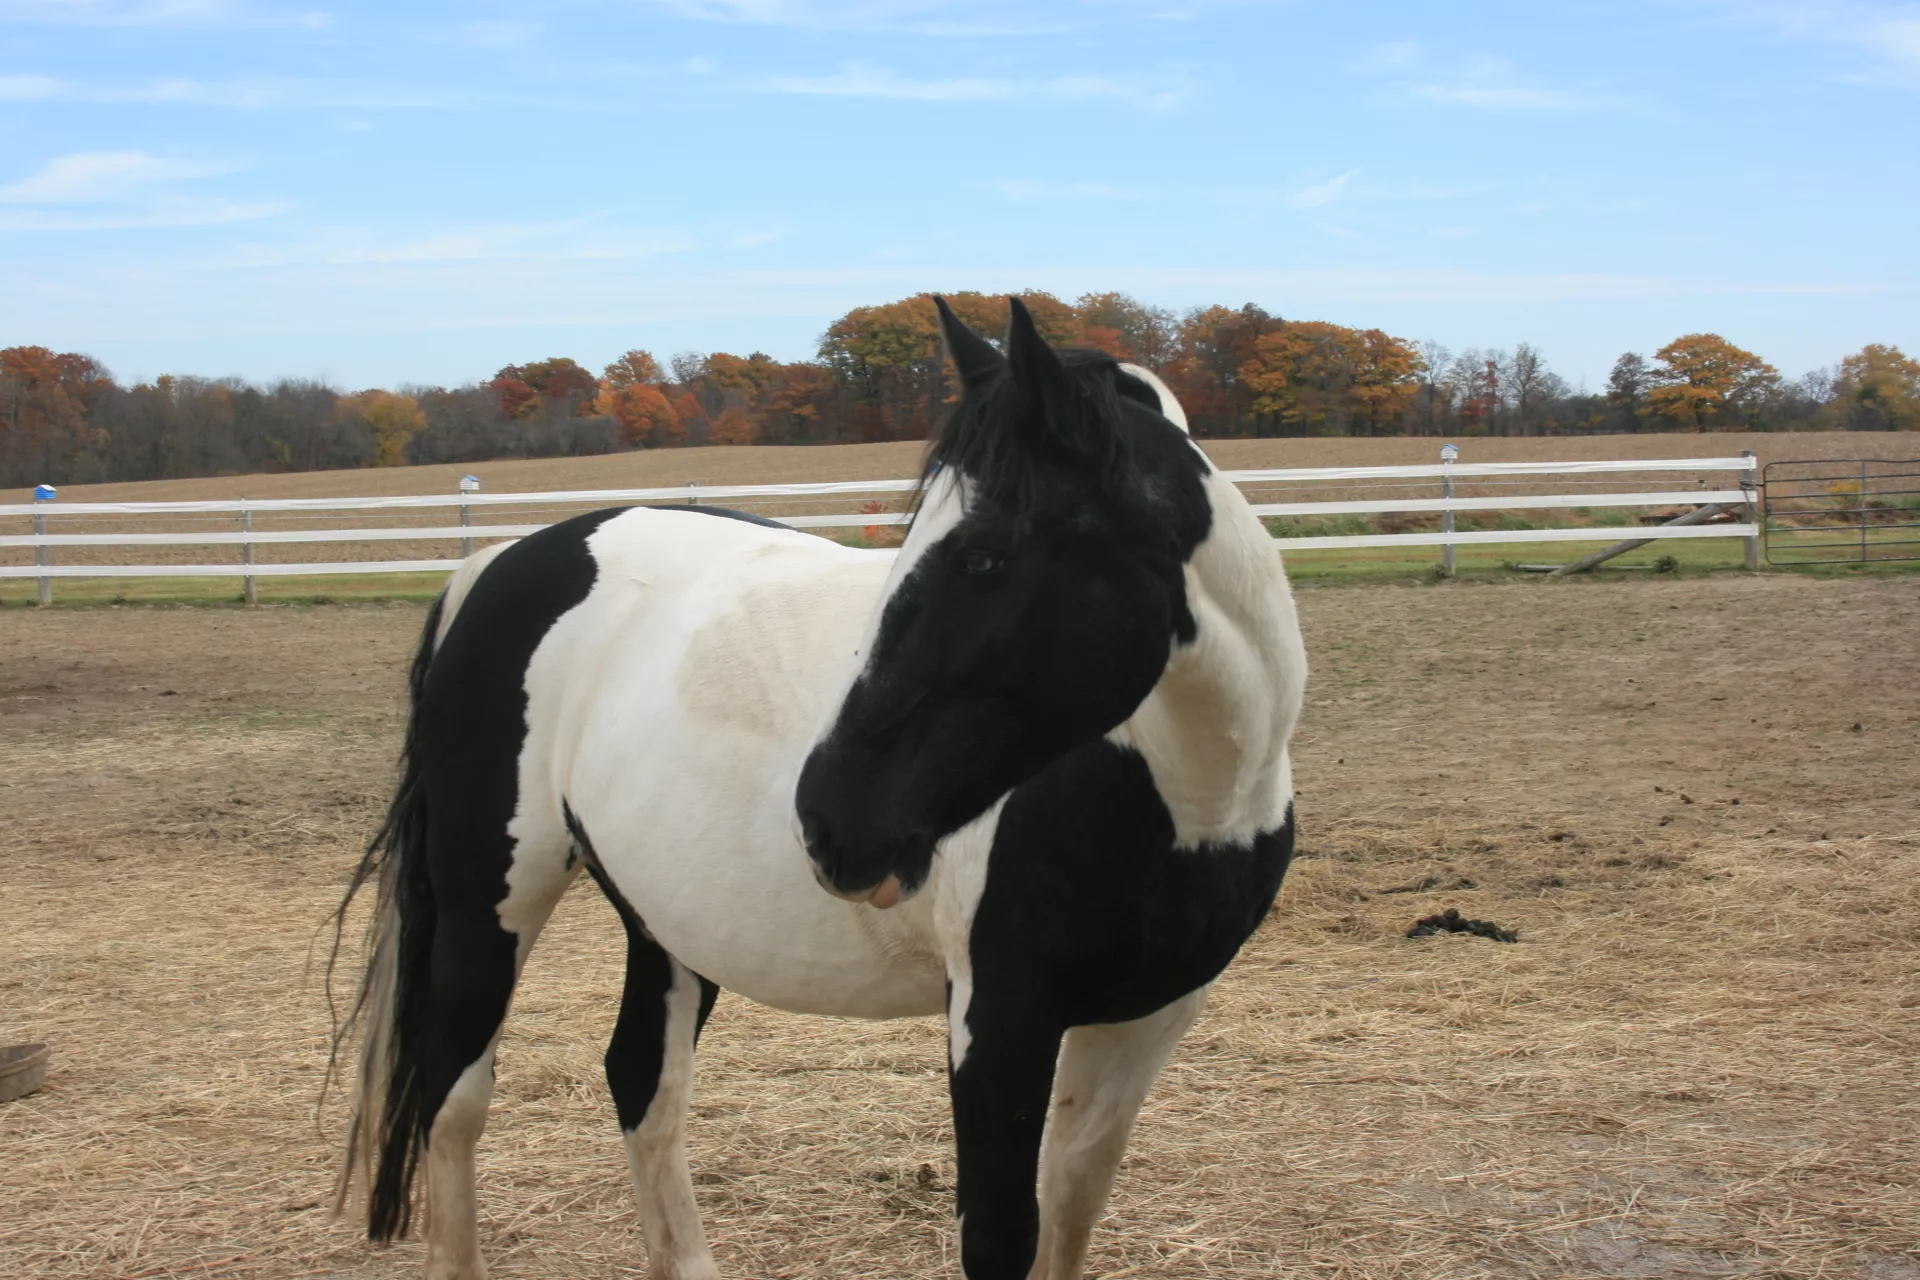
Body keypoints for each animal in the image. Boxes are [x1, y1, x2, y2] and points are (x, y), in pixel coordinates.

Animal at [337, 301, 1313, 1280]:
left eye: (985, 557)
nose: (828, 818)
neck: (1187, 800)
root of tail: (498, 563)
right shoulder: (999, 1019)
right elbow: (1002, 1232)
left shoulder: (1152, 1013)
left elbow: (1072, 1204)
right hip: (488, 905)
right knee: (453, 1097)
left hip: (662, 920)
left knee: (642, 1082)